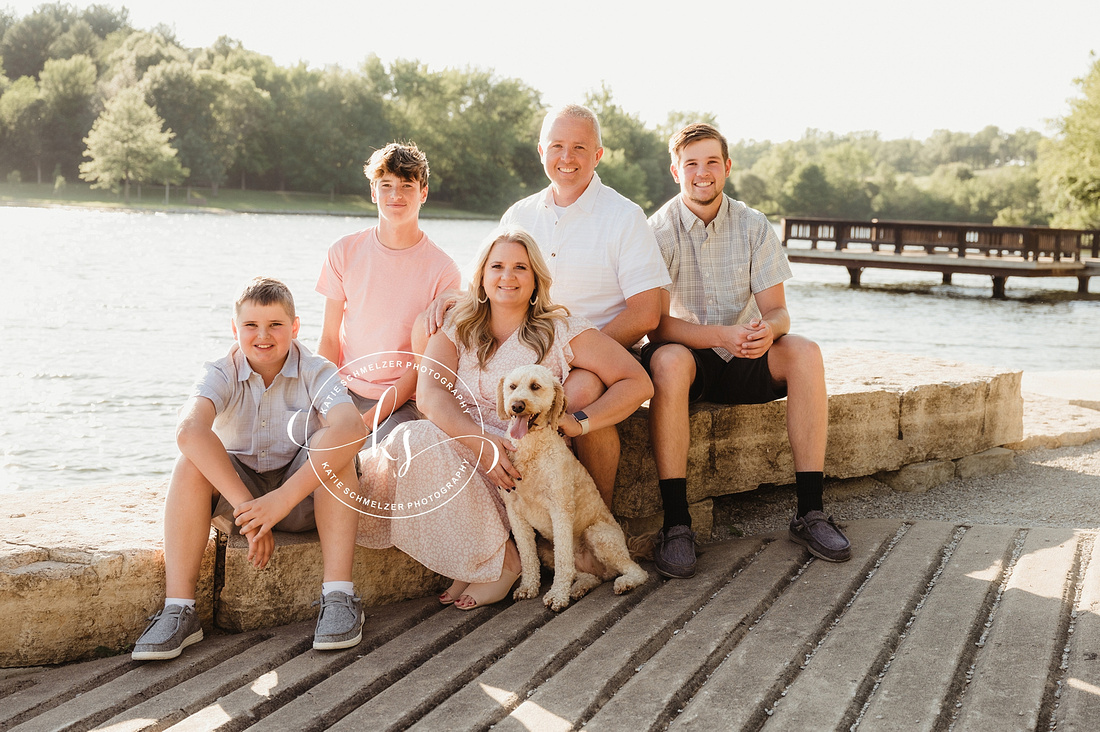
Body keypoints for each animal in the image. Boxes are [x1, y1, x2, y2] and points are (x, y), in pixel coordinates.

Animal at [497, 363, 646, 607]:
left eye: (535, 386)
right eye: (512, 386)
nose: (517, 406)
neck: (532, 449)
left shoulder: (560, 509)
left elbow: (563, 560)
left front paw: (558, 595)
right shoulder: (515, 512)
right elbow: (527, 556)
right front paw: (528, 587)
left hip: (598, 534)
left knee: (636, 571)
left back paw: (625, 583)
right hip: (546, 548)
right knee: (587, 575)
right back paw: (580, 587)